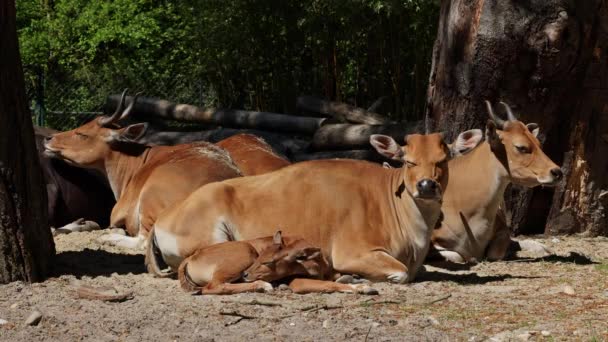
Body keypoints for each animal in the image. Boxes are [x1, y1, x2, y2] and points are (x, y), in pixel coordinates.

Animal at [148, 130, 484, 282]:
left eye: (443, 160)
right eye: (409, 161)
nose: (426, 185)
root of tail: (163, 219)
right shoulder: (353, 252)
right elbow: (399, 273)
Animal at [177, 231, 376, 296]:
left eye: (269, 260)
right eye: (263, 259)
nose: (246, 274)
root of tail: (191, 257)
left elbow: (338, 277)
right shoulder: (298, 282)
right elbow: (329, 285)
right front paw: (362, 288)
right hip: (244, 252)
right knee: (213, 287)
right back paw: (262, 285)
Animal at [372, 100, 564, 264]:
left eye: (538, 143)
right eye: (521, 147)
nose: (556, 172)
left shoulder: (501, 230)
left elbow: (497, 250)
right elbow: (459, 256)